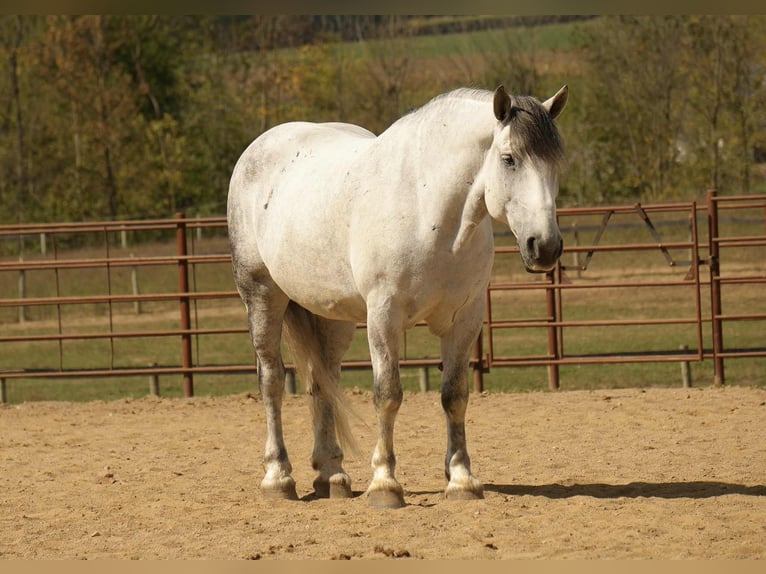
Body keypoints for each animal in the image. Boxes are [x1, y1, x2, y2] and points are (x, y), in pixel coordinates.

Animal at [227, 84, 568, 508]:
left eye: (556, 162)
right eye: (509, 159)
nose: (546, 247)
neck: (427, 208)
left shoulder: (465, 320)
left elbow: (455, 396)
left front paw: (461, 480)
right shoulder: (384, 317)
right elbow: (387, 395)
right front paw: (385, 484)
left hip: (331, 317)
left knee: (322, 380)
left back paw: (332, 476)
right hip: (261, 295)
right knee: (272, 380)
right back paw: (278, 478)